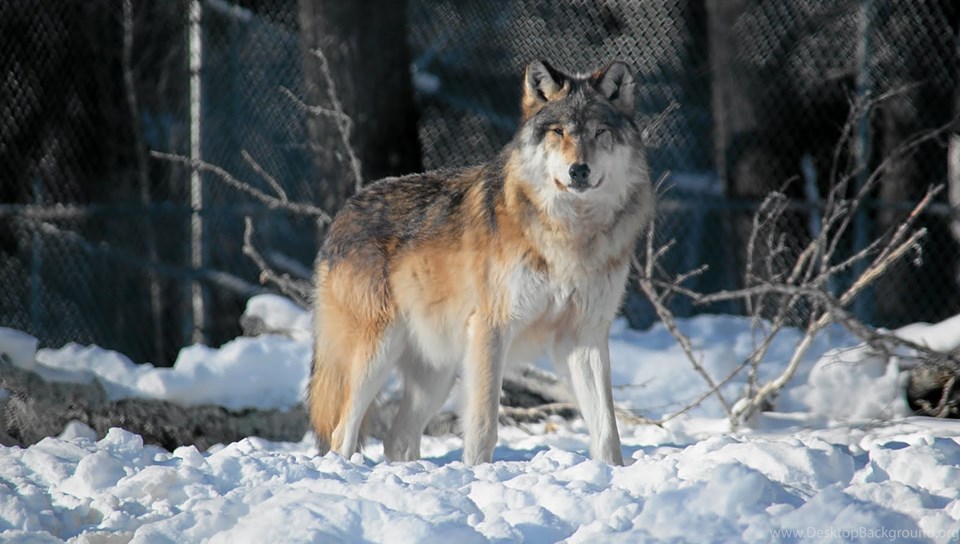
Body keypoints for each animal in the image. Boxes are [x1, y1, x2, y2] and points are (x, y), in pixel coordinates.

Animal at [308, 59, 654, 466]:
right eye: (558, 132)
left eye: (600, 132)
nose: (579, 170)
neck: (570, 235)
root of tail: (342, 213)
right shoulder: (493, 327)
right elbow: (484, 424)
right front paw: (477, 471)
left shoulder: (585, 335)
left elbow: (606, 429)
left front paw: (612, 470)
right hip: (375, 355)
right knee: (341, 433)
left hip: (436, 375)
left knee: (397, 438)